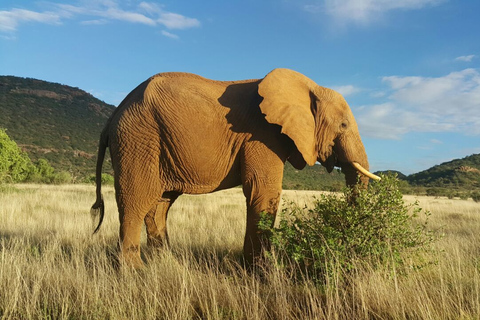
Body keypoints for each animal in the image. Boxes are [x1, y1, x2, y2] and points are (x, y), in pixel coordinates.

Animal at [92, 69, 380, 268]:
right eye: (343, 125)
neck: (309, 86)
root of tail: (112, 117)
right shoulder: (261, 135)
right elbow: (264, 192)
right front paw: (262, 272)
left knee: (160, 205)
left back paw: (165, 263)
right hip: (138, 140)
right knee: (135, 202)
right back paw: (134, 271)